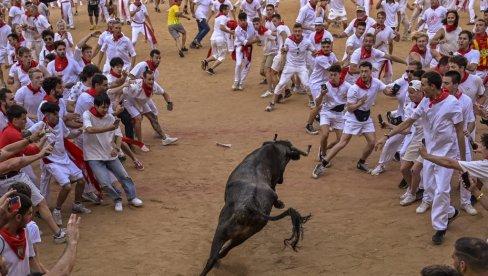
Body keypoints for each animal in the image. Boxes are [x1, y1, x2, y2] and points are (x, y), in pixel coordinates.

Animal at [201, 140, 312, 276]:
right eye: (287, 160)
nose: (282, 180)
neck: (272, 151)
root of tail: (251, 205)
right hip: (243, 236)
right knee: (222, 253)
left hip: (222, 231)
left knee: (214, 257)